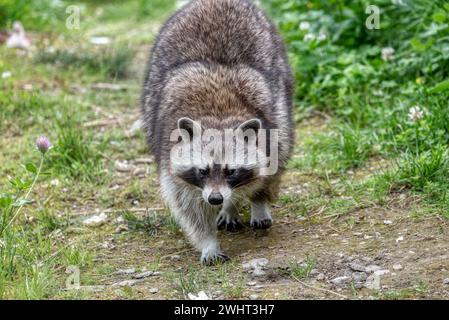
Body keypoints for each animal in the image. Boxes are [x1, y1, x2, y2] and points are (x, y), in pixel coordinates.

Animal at [142, 0, 292, 264]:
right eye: (202, 170)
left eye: (231, 171)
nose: (215, 199)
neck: (218, 116)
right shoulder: (171, 159)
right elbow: (190, 208)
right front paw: (208, 242)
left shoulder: (271, 135)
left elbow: (269, 172)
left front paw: (256, 201)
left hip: (279, 75)